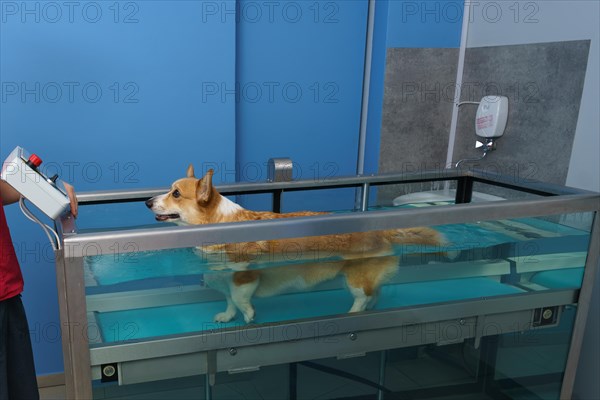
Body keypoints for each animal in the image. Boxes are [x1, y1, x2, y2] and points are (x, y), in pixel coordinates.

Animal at [145, 164, 446, 324]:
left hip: (354, 278)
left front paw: (249, 315)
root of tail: (383, 230)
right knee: (376, 292)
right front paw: (228, 316)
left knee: (362, 296)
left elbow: (240, 298)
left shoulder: (245, 276)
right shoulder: (225, 279)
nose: (146, 202)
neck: (220, 223)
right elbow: (229, 300)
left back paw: (351, 313)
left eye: (175, 193)